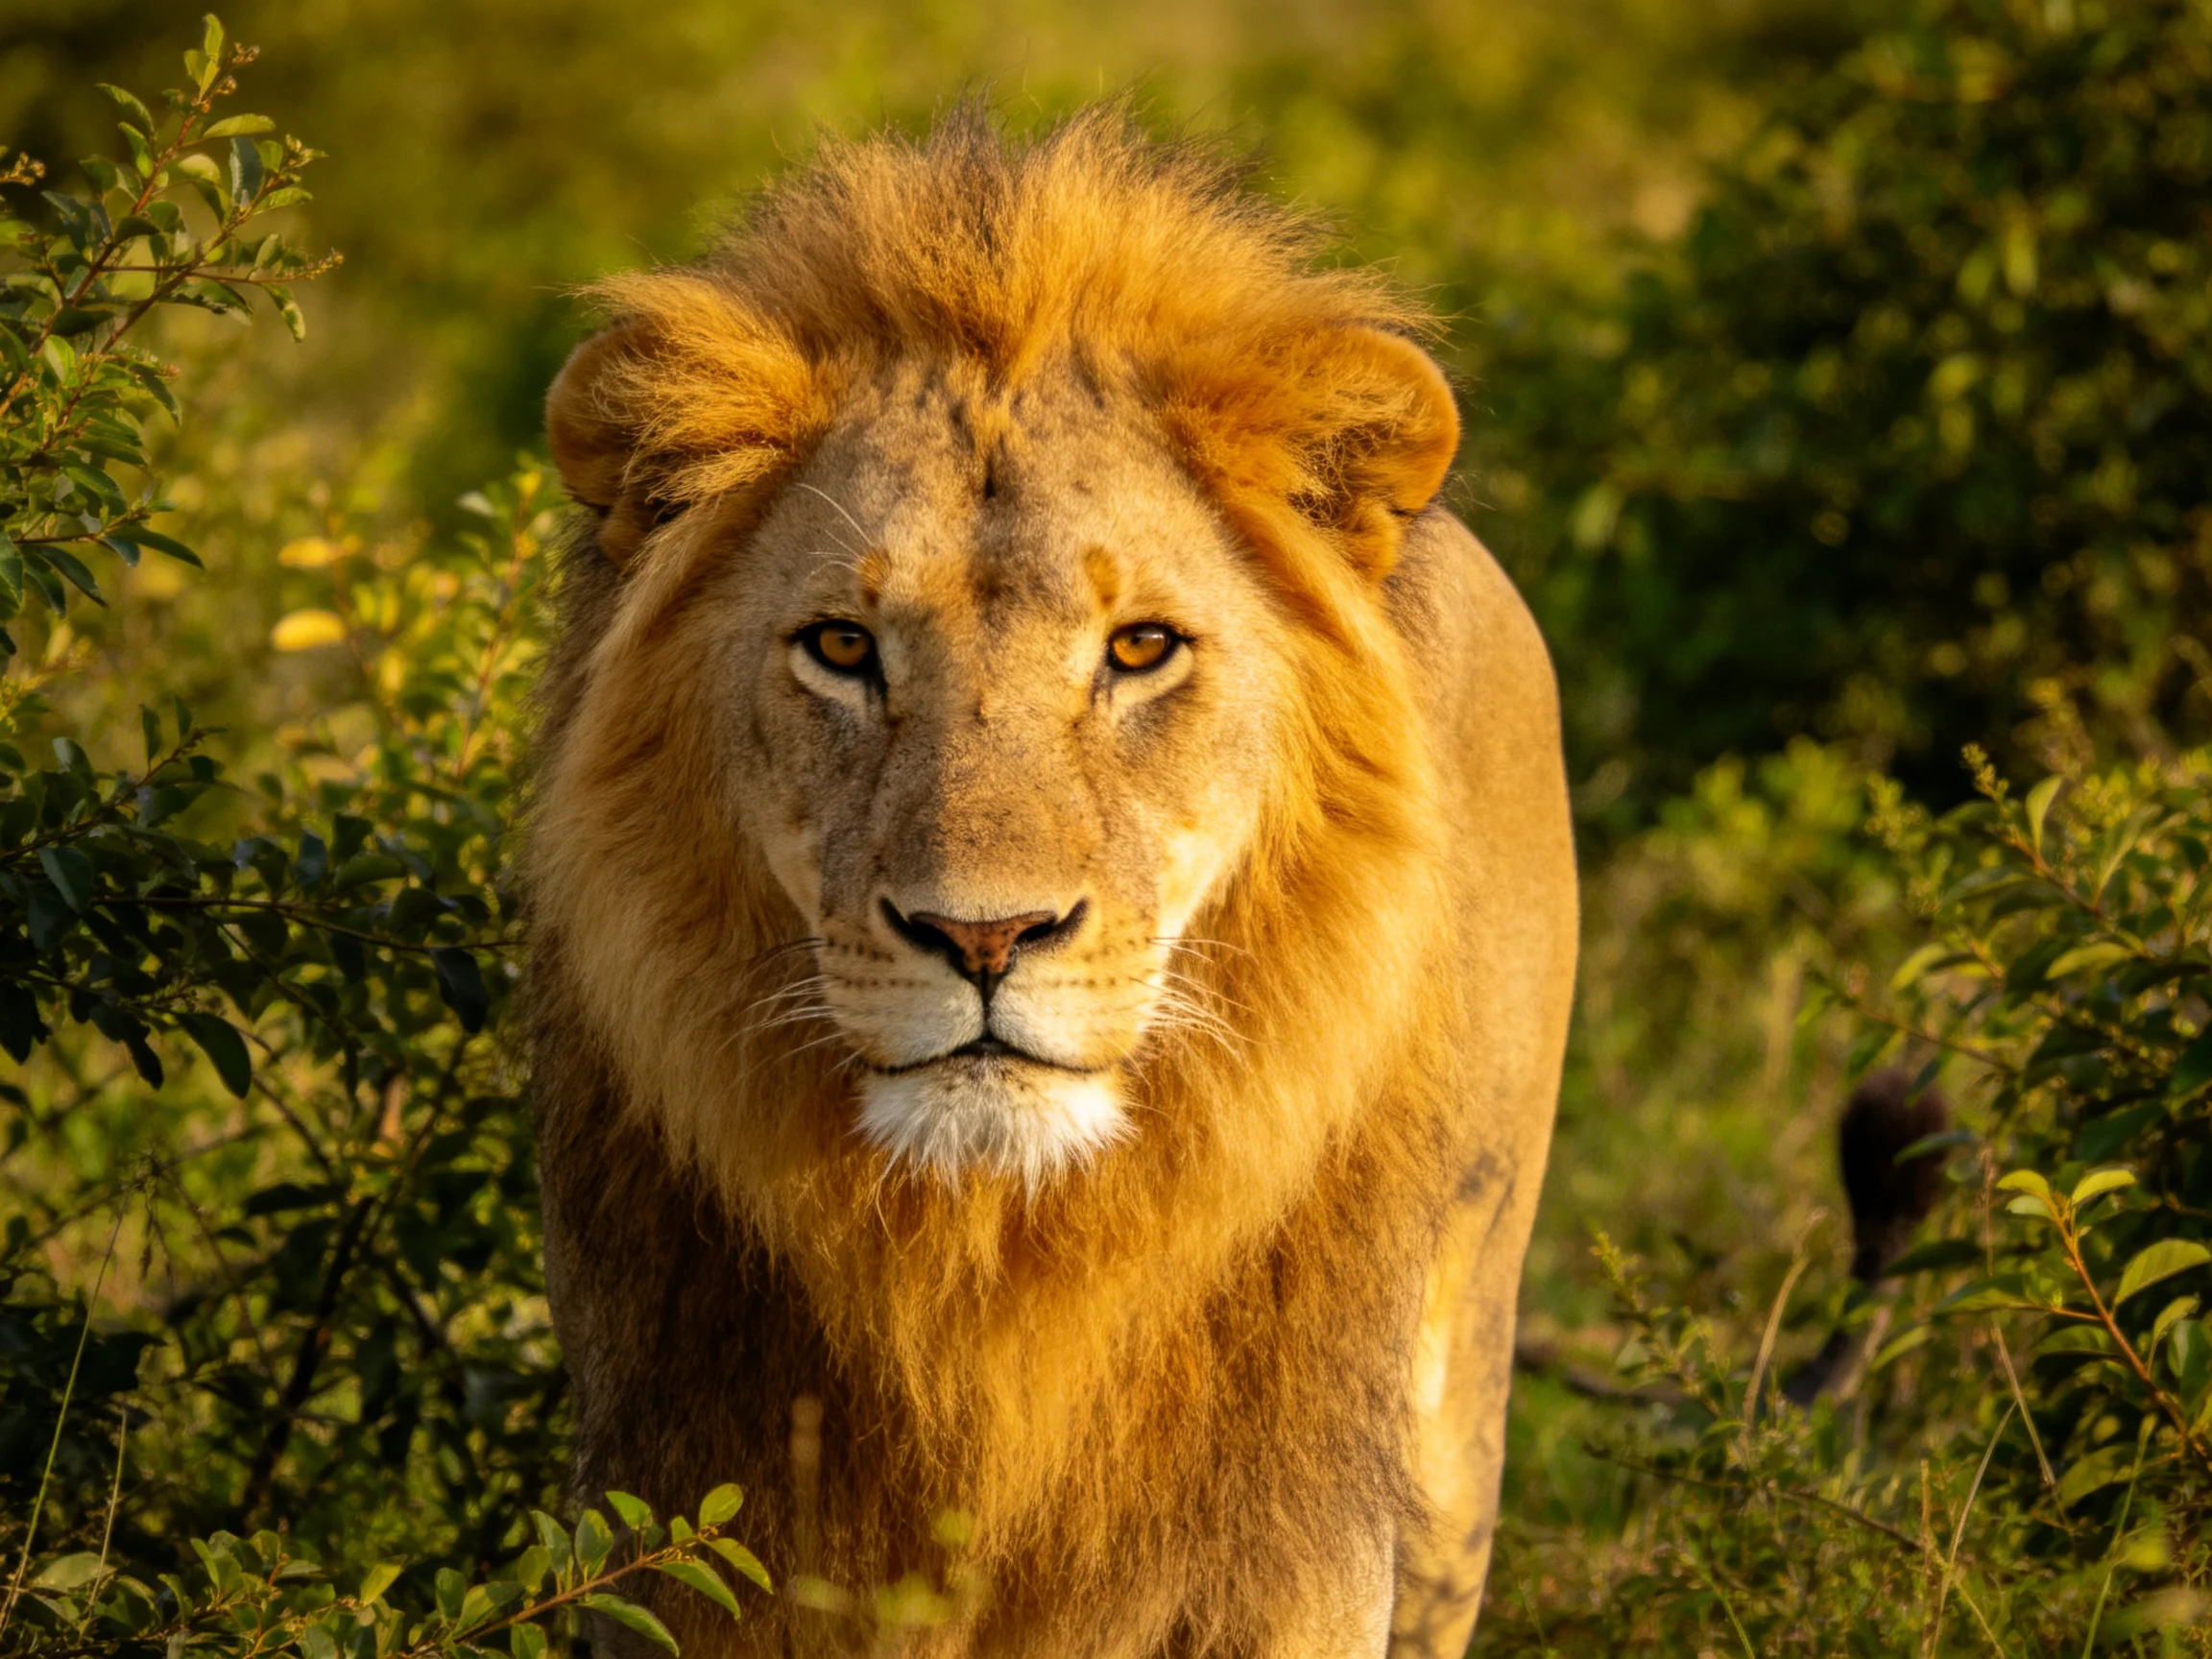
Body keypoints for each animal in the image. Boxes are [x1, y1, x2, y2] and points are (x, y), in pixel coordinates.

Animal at [525, 108, 1577, 1659]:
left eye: (1139, 648)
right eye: (842, 647)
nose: (984, 934)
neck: (996, 1266)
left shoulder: (1291, 1558)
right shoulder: (695, 1511)